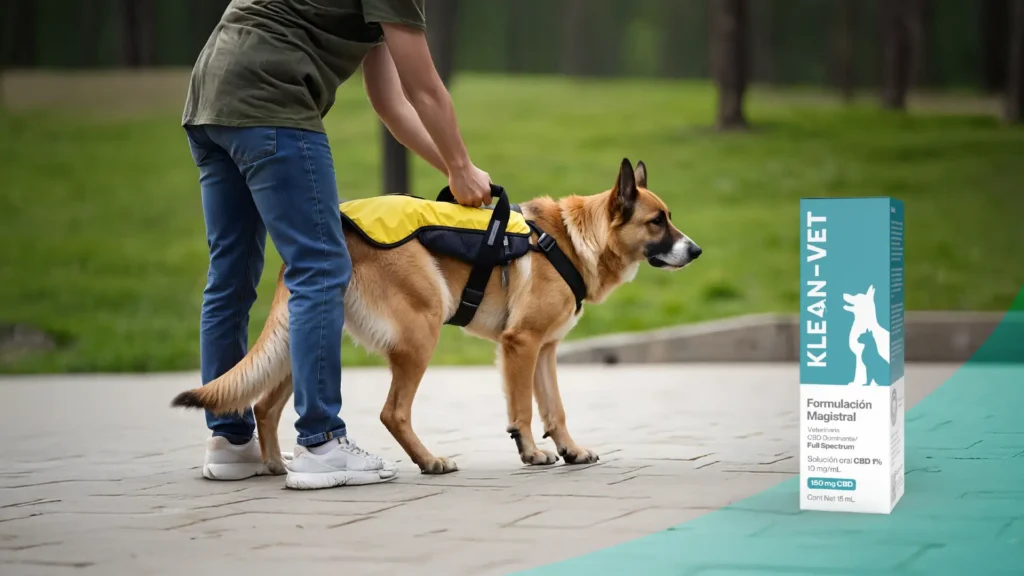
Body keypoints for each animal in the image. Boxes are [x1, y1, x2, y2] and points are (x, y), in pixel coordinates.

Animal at [174, 157, 704, 475]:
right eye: (657, 222)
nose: (696, 251)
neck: (572, 240)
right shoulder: (521, 346)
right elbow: (523, 409)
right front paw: (531, 452)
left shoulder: (546, 350)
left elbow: (555, 408)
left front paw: (570, 449)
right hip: (421, 334)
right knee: (393, 412)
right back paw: (428, 461)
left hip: (309, 337)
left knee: (265, 406)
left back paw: (277, 469)